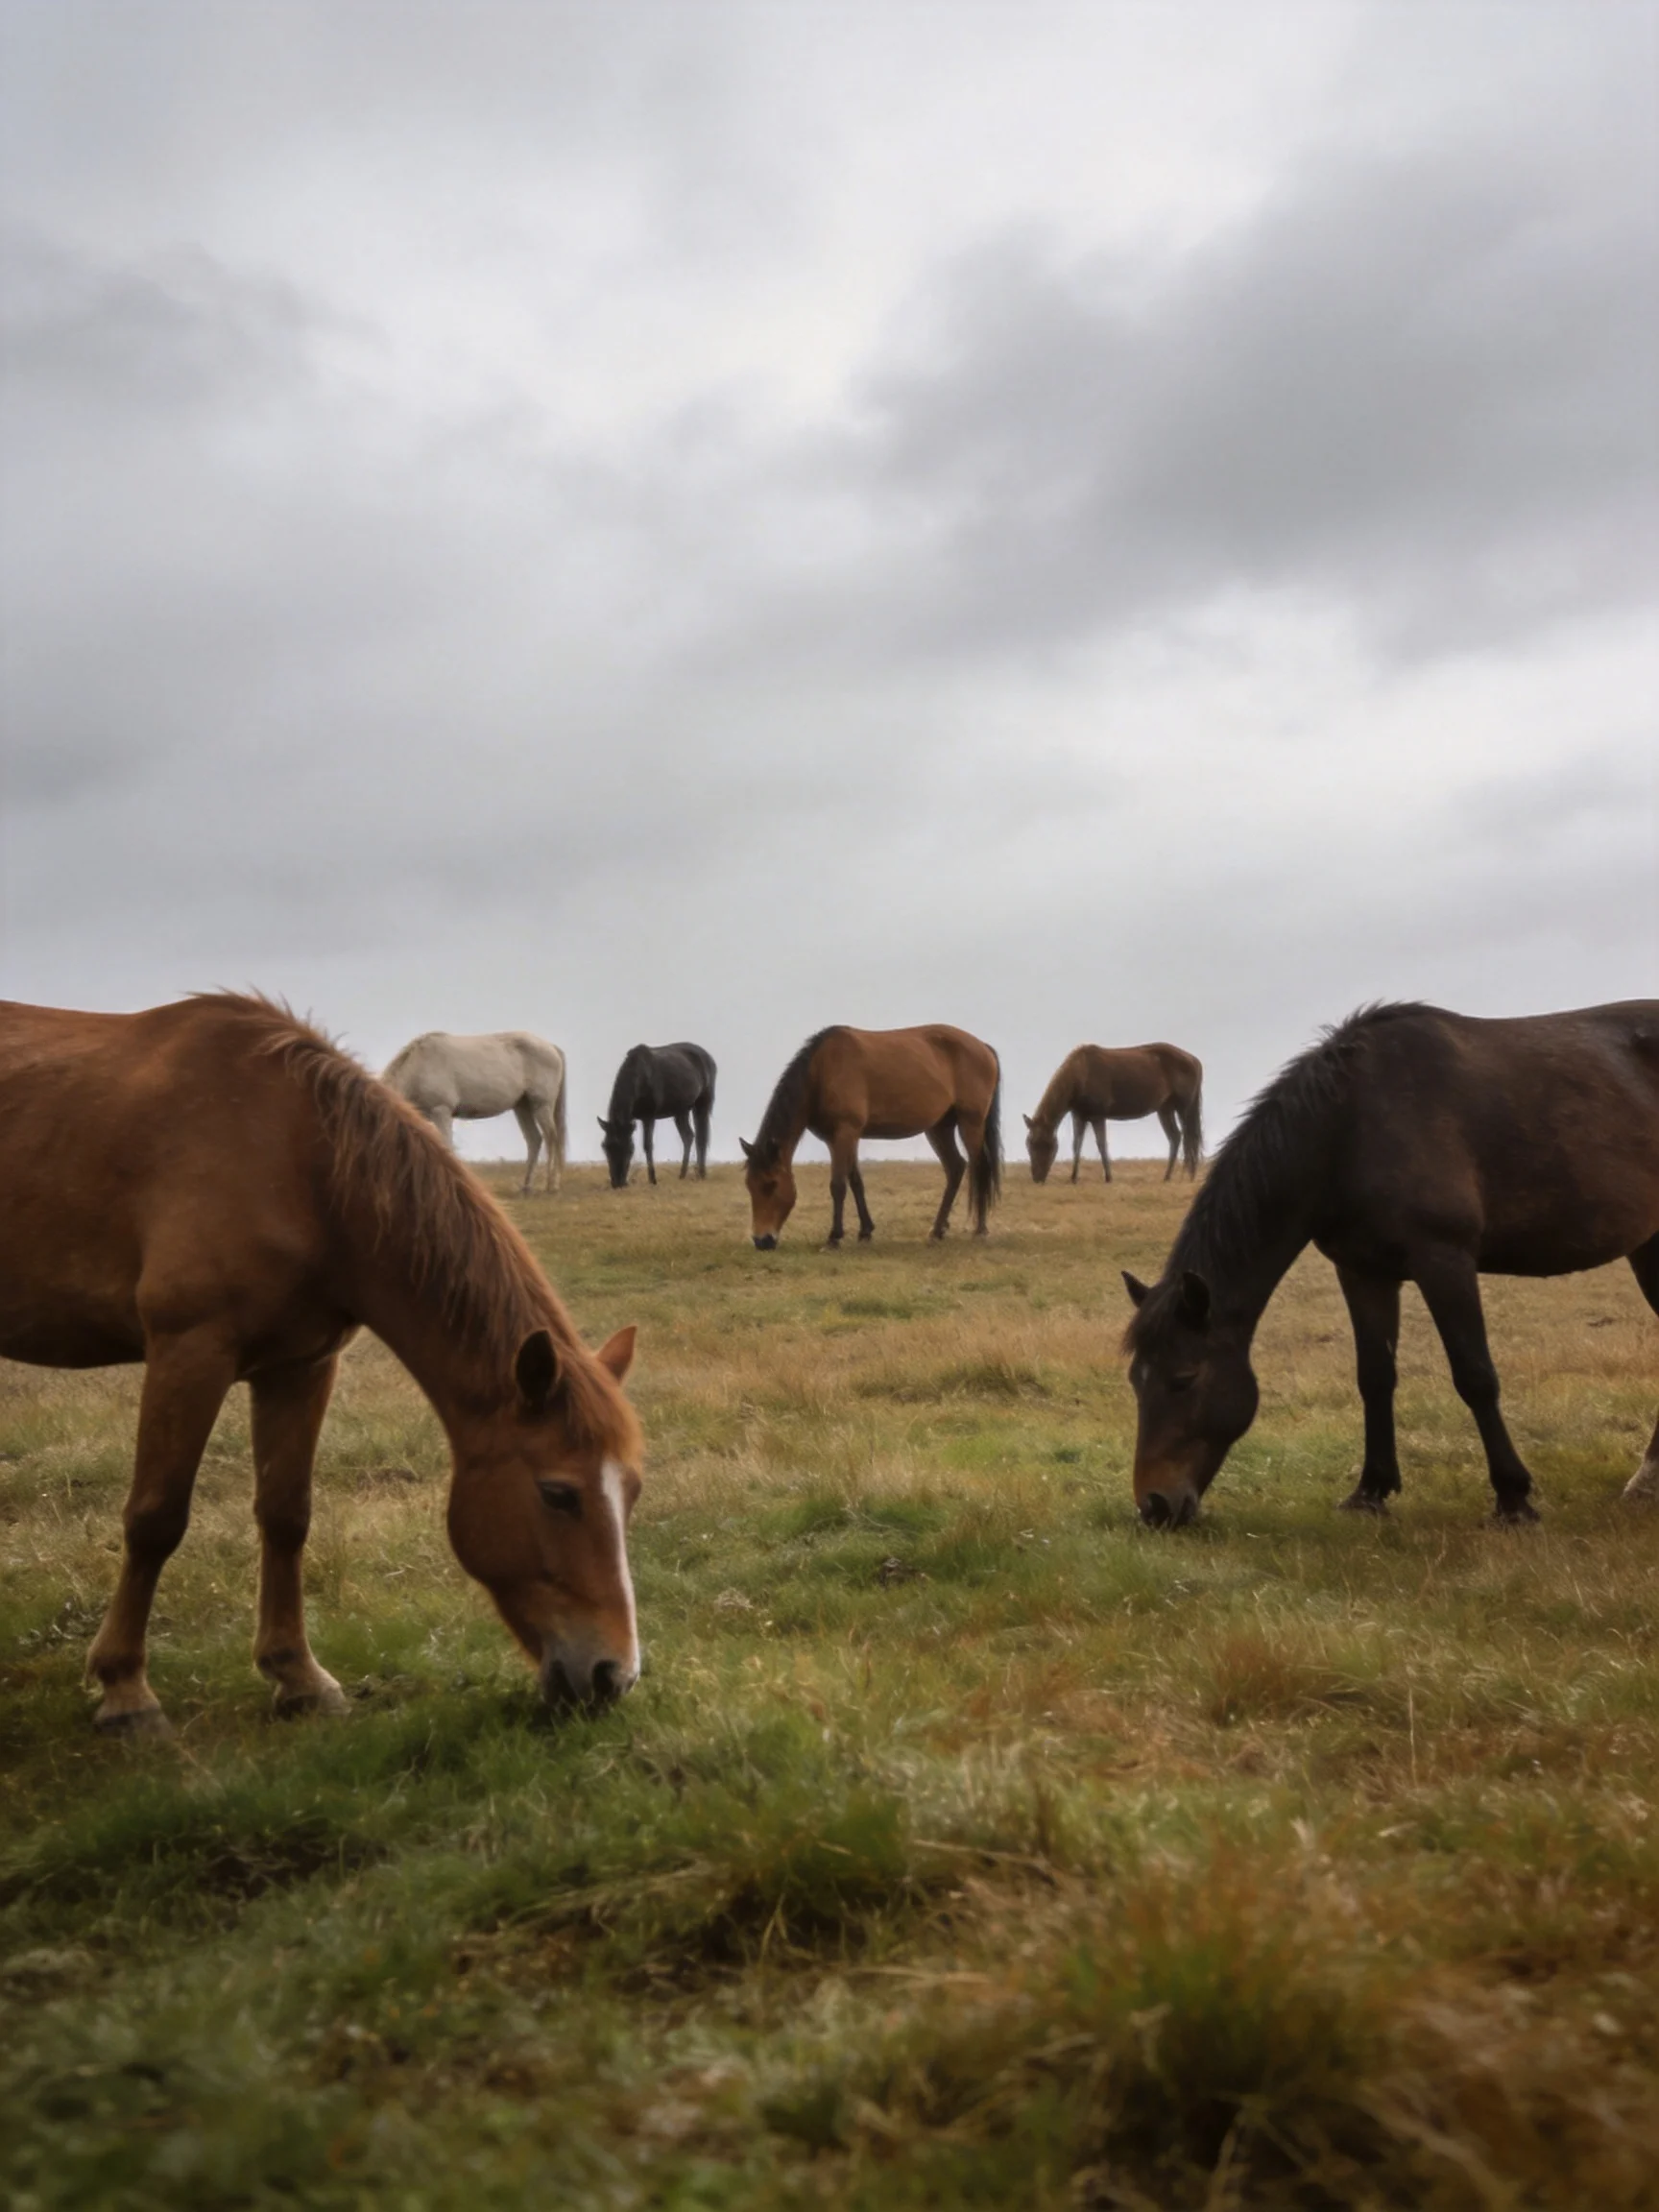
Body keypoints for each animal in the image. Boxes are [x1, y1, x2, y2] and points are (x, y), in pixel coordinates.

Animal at [382, 1030, 567, 1194]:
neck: (419, 1066)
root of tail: (551, 1047)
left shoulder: (441, 1112)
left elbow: (447, 1148)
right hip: (522, 1107)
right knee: (534, 1140)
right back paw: (527, 1186)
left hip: (542, 1106)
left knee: (552, 1139)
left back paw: (551, 1185)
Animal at [599, 1042, 717, 1188]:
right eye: (605, 1147)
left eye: (629, 1149)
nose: (617, 1183)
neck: (640, 1076)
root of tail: (709, 1058)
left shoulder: (648, 1117)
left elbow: (648, 1146)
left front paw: (653, 1180)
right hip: (681, 1111)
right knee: (688, 1137)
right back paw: (682, 1175)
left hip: (702, 1104)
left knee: (701, 1139)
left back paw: (701, 1174)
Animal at [740, 1025, 1001, 1248]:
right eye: (749, 1186)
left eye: (771, 1184)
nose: (761, 1241)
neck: (822, 1070)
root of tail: (983, 1047)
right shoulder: (840, 1138)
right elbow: (856, 1181)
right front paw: (865, 1231)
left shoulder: (845, 1132)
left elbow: (838, 1185)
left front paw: (834, 1238)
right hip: (939, 1127)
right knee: (956, 1168)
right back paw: (937, 1231)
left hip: (970, 1123)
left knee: (979, 1168)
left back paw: (980, 1230)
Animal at [1024, 1043, 1203, 1184]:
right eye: (1029, 1144)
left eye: (1046, 1145)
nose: (1037, 1178)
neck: (1081, 1074)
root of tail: (1194, 1060)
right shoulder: (1079, 1116)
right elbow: (1077, 1145)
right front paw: (1073, 1178)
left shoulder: (1098, 1116)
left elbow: (1102, 1144)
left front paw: (1108, 1178)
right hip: (1165, 1109)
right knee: (1175, 1137)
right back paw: (1167, 1177)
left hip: (1184, 1109)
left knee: (1189, 1138)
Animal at [1121, 1000, 1659, 1529]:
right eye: (1135, 1381)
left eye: (1184, 1379)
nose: (1154, 1506)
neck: (1349, 1127)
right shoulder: (1364, 1273)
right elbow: (1375, 1377)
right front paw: (1370, 1491)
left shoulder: (1444, 1261)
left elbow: (1475, 1376)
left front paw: (1513, 1498)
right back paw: (1645, 1480)